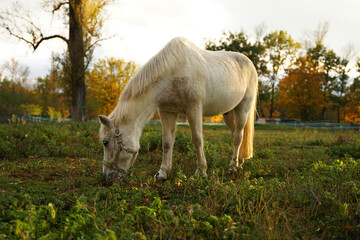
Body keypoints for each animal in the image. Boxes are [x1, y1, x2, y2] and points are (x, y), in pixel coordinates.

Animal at [97, 37, 258, 182]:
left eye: (105, 142)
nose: (107, 177)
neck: (173, 72)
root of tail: (249, 63)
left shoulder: (194, 109)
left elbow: (197, 139)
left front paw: (201, 172)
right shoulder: (167, 112)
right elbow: (167, 142)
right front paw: (163, 173)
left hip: (242, 110)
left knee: (238, 137)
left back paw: (232, 167)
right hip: (228, 114)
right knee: (237, 135)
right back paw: (239, 163)